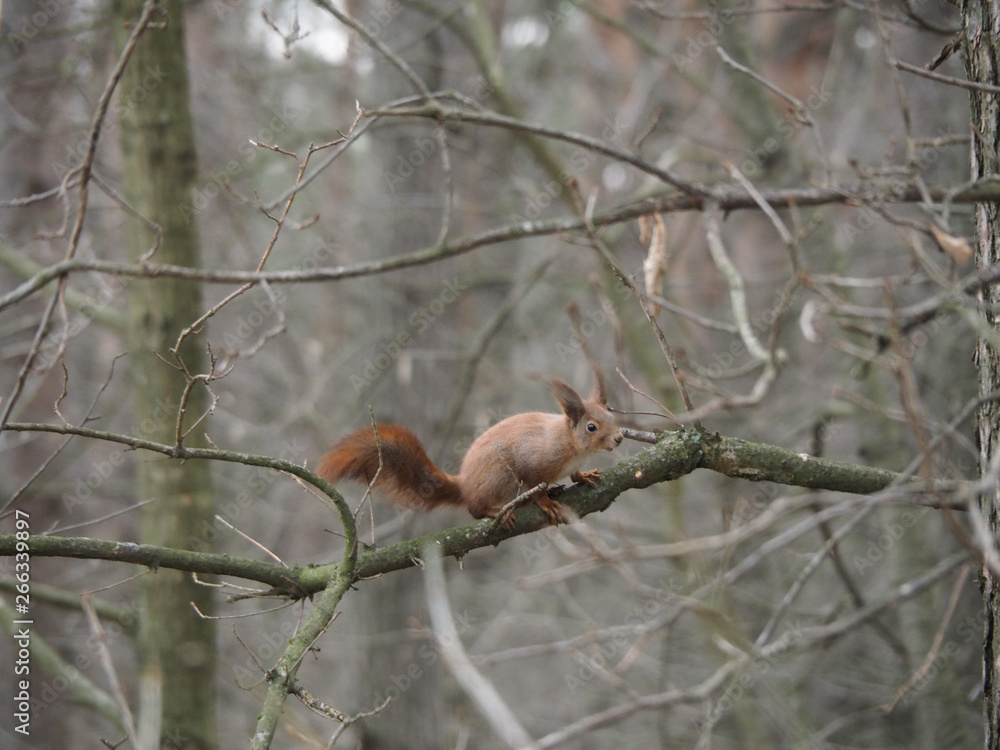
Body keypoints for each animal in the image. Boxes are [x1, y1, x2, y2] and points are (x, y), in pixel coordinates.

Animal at [316, 376, 624, 529]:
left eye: (611, 414)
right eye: (592, 427)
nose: (620, 437)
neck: (572, 447)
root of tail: (464, 484)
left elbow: (575, 475)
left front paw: (584, 476)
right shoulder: (535, 462)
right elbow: (535, 483)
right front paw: (545, 502)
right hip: (500, 476)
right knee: (475, 508)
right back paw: (500, 510)